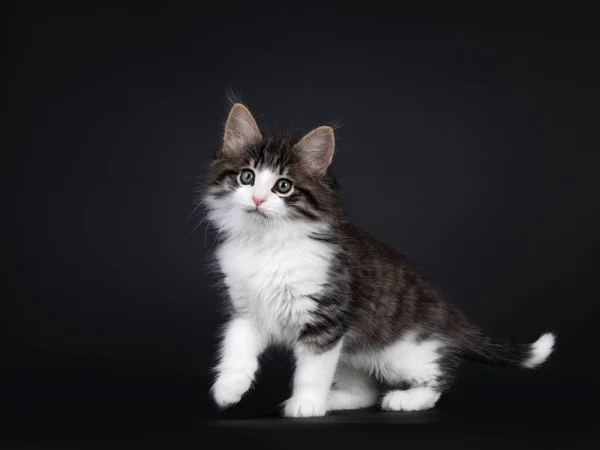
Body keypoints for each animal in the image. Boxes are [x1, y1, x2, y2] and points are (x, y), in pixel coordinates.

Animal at [203, 102, 556, 418]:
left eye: (283, 186)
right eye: (247, 177)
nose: (258, 199)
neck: (267, 243)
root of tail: (448, 314)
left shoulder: (326, 319)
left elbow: (312, 371)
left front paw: (306, 404)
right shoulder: (246, 310)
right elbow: (236, 350)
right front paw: (228, 388)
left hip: (402, 352)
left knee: (440, 376)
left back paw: (406, 400)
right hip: (351, 354)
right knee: (366, 392)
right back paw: (335, 400)